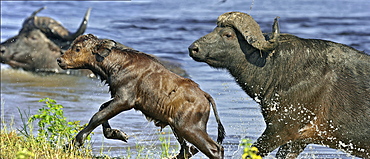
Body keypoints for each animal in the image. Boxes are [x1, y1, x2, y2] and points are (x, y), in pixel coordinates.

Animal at [57, 34, 225, 158]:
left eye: (77, 48)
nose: (59, 59)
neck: (119, 65)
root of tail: (205, 95)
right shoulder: (118, 98)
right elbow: (102, 109)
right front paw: (118, 134)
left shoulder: (125, 100)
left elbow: (97, 117)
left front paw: (71, 144)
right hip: (178, 127)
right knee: (187, 150)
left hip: (190, 128)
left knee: (214, 149)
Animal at [189, 11, 368, 158]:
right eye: (215, 29)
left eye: (228, 34)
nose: (193, 48)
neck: (281, 69)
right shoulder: (298, 140)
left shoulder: (280, 129)